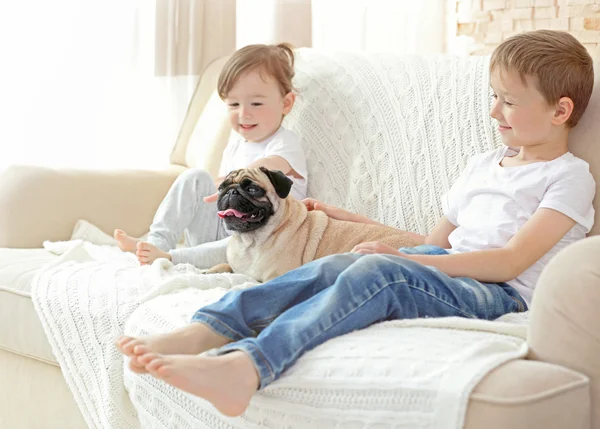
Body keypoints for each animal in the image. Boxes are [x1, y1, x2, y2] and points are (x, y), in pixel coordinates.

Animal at [207, 166, 418, 280]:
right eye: (221, 188)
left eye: (252, 189)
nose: (230, 191)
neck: (250, 242)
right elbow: (224, 266)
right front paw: (210, 271)